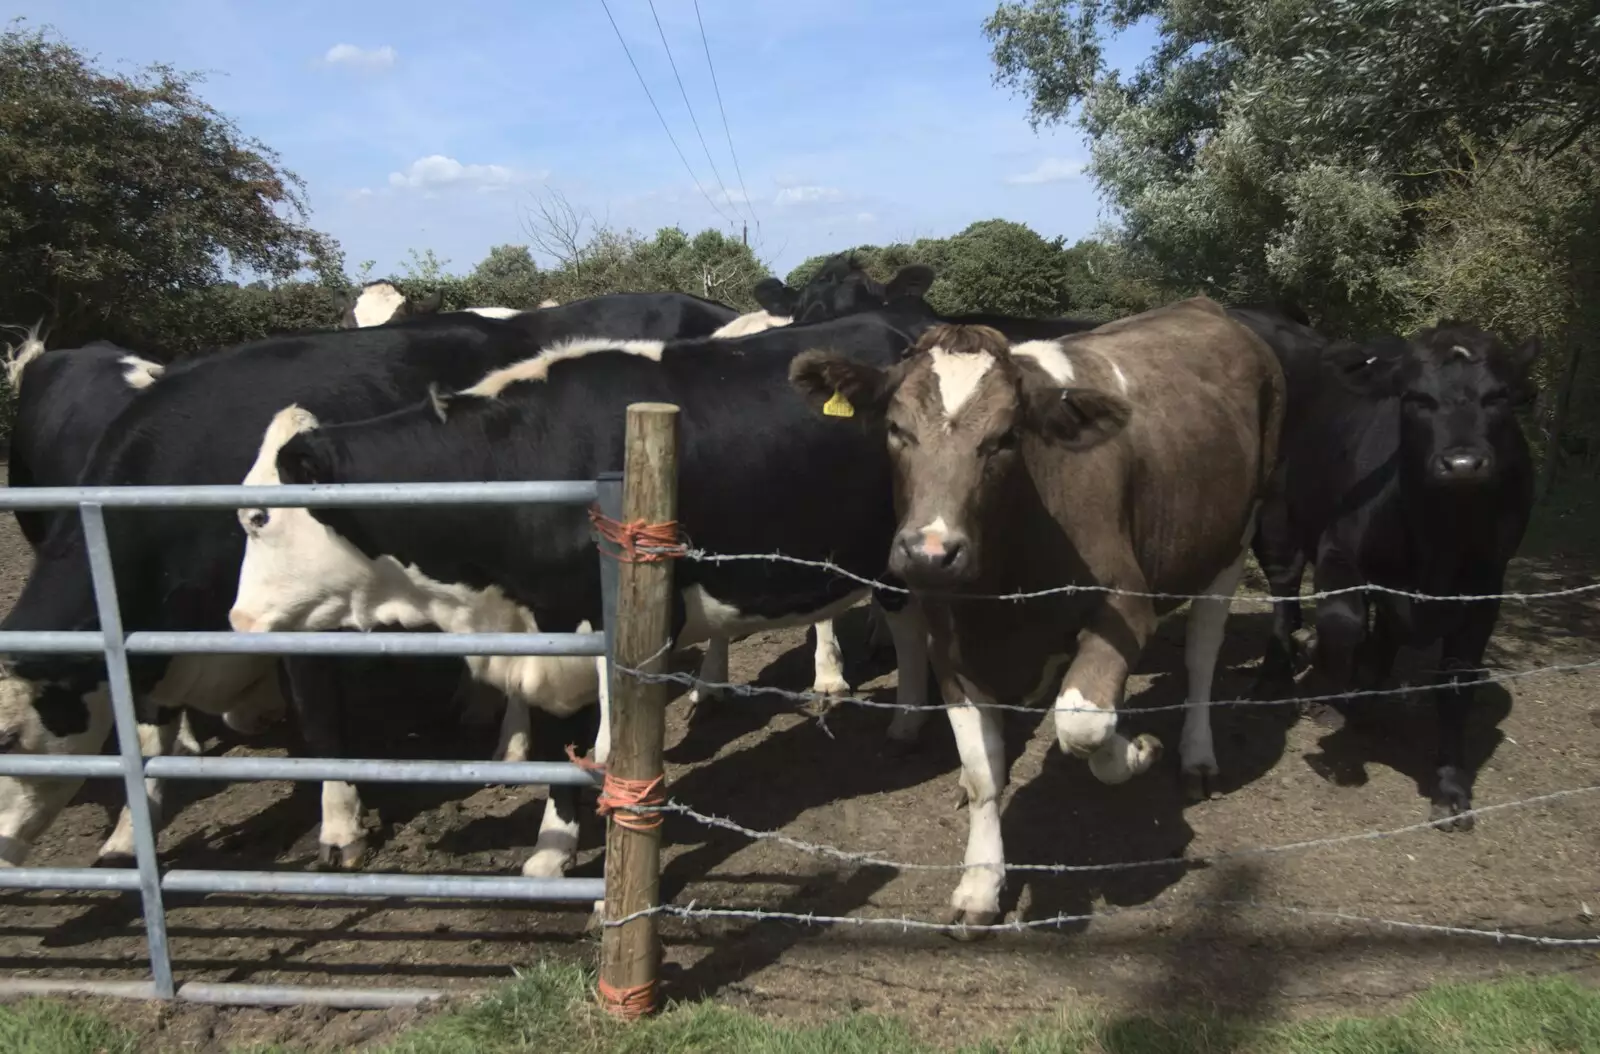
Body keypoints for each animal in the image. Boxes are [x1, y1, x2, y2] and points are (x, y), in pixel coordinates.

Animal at [225, 315, 934, 882]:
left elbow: (616, 749)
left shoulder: (636, 626)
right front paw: (551, 851)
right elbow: (562, 748)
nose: (239, 621)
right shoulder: (553, 638)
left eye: (258, 518)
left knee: (908, 623)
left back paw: (907, 716)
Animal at [790, 299, 1286, 934]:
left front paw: (1135, 750)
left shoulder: (1127, 605)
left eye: (1005, 438)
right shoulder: (950, 642)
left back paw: (1196, 755)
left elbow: (1082, 723)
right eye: (896, 429)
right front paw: (980, 882)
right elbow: (984, 773)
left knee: (1202, 652)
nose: (931, 551)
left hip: (1234, 538)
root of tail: (1201, 304)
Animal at [1260, 318, 1536, 831]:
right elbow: (1341, 626)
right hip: (1276, 515)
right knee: (1285, 590)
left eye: (1499, 396)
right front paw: (1324, 679)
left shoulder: (1485, 590)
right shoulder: (1338, 549)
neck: (1440, 536)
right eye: (1416, 398)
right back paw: (1278, 675)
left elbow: (1456, 685)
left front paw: (1450, 788)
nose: (1463, 464)